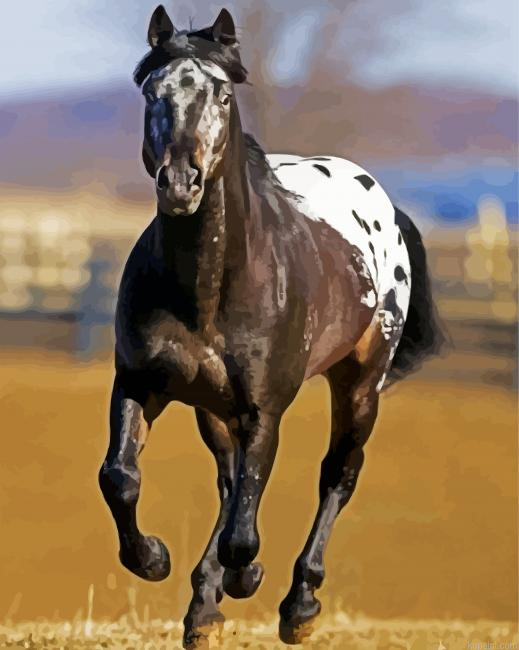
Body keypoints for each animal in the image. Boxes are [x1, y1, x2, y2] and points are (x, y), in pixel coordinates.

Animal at [98, 6, 445, 648]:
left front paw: (246, 577)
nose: (180, 182)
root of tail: (384, 204)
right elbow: (121, 478)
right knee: (229, 481)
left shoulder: (264, 410)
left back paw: (298, 604)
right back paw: (205, 611)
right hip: (212, 407)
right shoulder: (139, 383)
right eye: (152, 91)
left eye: (223, 94)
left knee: (337, 475)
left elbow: (245, 527)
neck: (209, 288)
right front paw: (155, 559)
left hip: (361, 382)